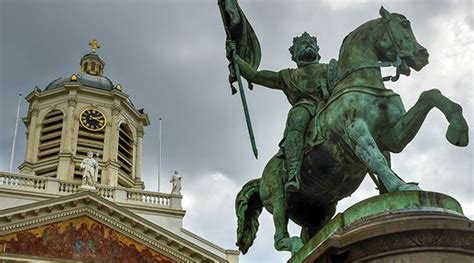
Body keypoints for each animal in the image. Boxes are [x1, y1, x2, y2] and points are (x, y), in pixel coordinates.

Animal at [235, 6, 468, 256]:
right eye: (404, 25)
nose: (422, 55)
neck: (362, 82)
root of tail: (260, 179)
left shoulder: (392, 137)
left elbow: (430, 94)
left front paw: (458, 130)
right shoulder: (355, 130)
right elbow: (376, 159)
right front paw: (400, 186)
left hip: (321, 208)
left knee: (310, 233)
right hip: (278, 196)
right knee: (279, 235)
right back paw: (296, 245)